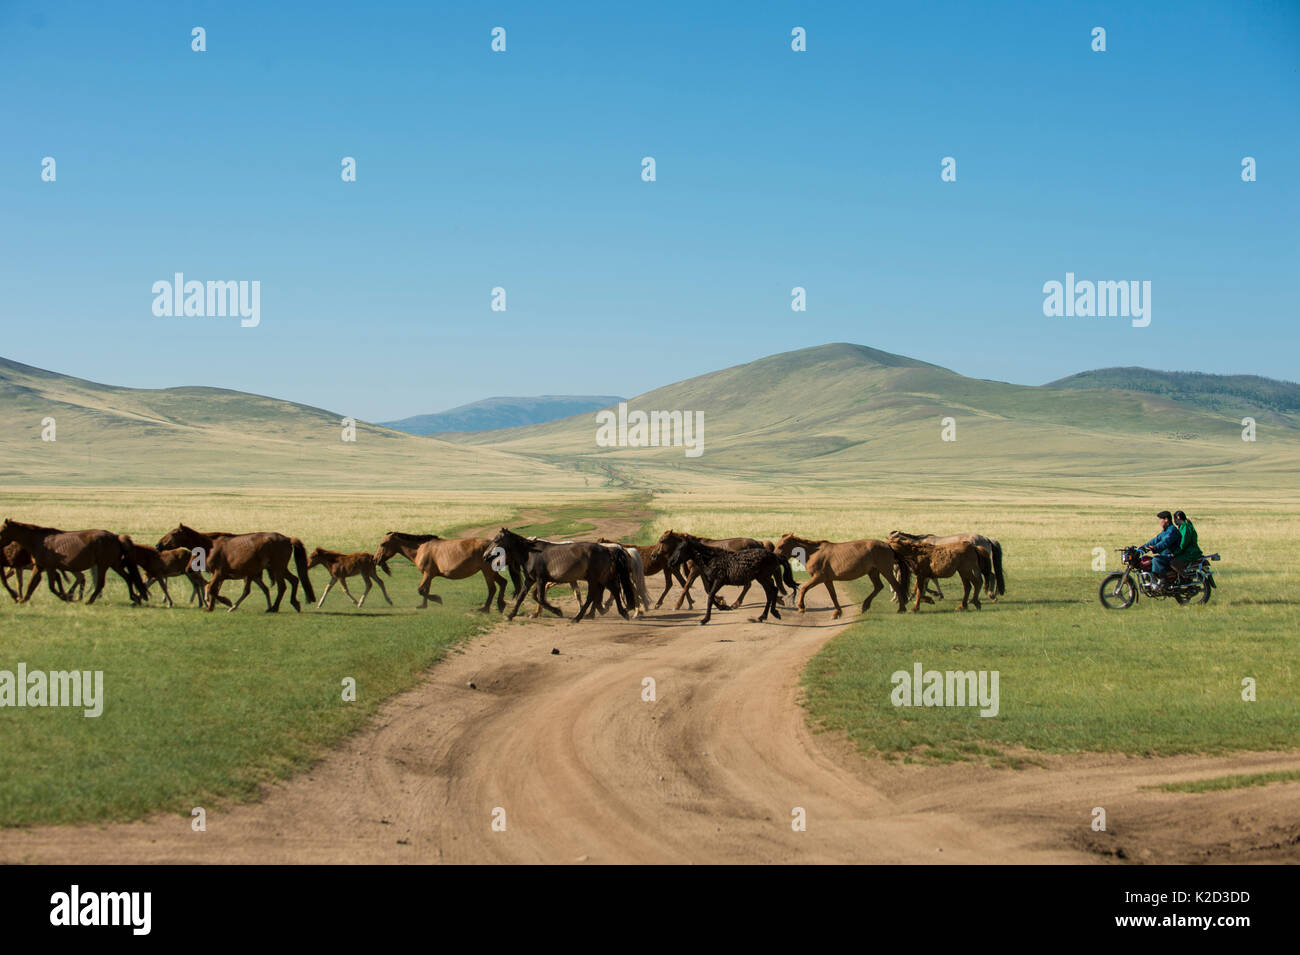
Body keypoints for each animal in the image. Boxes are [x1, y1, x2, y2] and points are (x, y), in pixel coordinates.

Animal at [0, 522, 148, 605]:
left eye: (1, 531)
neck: (39, 541)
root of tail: (116, 537)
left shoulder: (49, 567)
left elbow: (51, 587)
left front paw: (66, 597)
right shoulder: (40, 566)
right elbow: (31, 584)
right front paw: (22, 599)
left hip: (103, 565)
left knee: (100, 583)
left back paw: (89, 600)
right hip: (114, 564)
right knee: (128, 578)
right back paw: (135, 598)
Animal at [374, 530, 509, 613]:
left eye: (383, 544)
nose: (375, 559)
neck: (421, 549)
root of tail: (493, 546)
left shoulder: (427, 574)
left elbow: (421, 590)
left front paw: (438, 599)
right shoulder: (428, 575)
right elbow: (425, 590)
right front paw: (423, 606)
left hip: (487, 572)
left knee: (492, 589)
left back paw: (485, 609)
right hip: (492, 572)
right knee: (503, 582)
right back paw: (501, 604)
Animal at [769, 530, 904, 621]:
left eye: (781, 546)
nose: (773, 558)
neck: (812, 554)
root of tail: (887, 545)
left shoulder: (818, 577)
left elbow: (804, 588)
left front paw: (801, 608)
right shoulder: (827, 580)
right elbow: (833, 595)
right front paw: (837, 613)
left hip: (885, 570)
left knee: (896, 586)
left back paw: (901, 608)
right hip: (873, 572)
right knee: (878, 587)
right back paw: (865, 605)